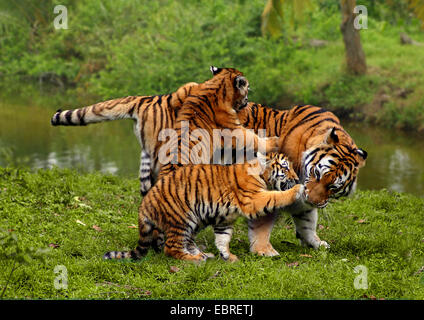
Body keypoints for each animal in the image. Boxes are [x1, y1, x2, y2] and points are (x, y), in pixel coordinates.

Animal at [104, 151, 304, 262]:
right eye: (285, 168)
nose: (296, 179)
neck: (261, 174)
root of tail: (144, 205)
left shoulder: (224, 219)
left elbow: (223, 239)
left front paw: (228, 257)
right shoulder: (253, 199)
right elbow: (276, 196)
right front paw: (297, 189)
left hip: (195, 220)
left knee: (187, 242)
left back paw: (204, 255)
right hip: (181, 219)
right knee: (171, 248)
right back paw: (194, 259)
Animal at [237, 103, 370, 255]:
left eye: (333, 187)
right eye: (317, 173)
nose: (311, 200)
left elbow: (307, 220)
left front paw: (315, 242)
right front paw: (262, 249)